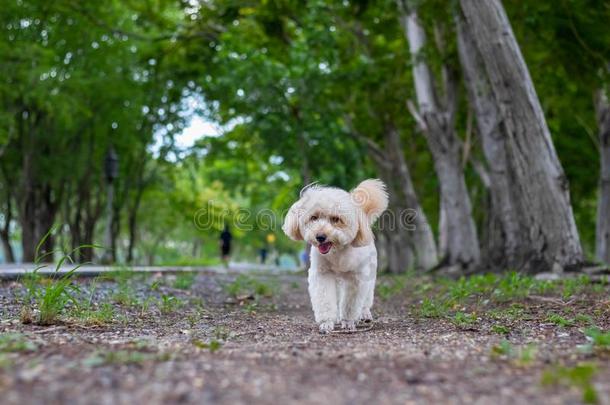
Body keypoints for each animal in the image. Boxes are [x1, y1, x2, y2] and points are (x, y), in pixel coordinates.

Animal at [282, 178, 388, 332]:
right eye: (314, 217)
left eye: (336, 219)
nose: (320, 236)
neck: (337, 252)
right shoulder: (322, 274)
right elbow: (325, 300)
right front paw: (327, 323)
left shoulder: (356, 278)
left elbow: (351, 303)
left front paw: (348, 321)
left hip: (370, 273)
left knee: (366, 298)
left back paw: (364, 313)